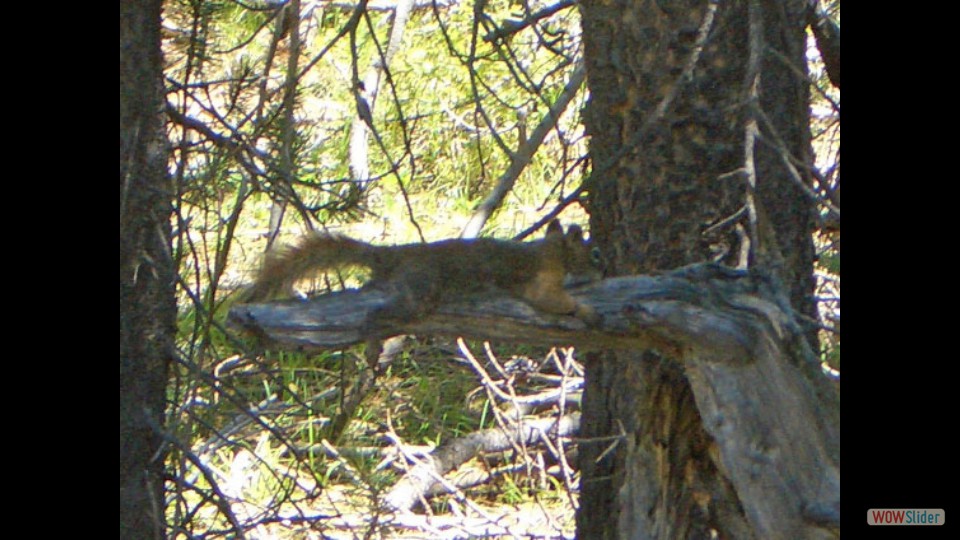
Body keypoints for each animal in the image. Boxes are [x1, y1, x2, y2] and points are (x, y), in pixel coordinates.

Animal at [248, 218, 600, 326]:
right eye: (594, 254)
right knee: (403, 305)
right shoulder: (543, 278)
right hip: (421, 283)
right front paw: (585, 309)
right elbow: (552, 299)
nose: (603, 269)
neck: (555, 251)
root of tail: (396, 255)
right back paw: (378, 314)